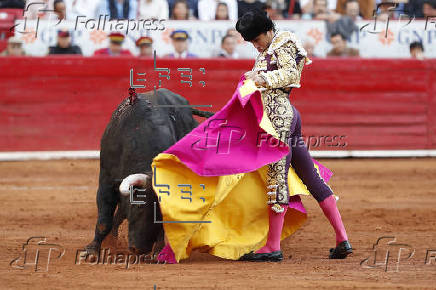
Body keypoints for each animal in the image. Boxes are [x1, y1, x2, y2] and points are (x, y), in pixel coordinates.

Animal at [85, 89, 215, 255]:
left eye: (162, 212)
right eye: (139, 206)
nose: (139, 249)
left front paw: (158, 251)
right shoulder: (106, 182)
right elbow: (103, 221)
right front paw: (92, 250)